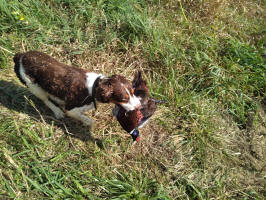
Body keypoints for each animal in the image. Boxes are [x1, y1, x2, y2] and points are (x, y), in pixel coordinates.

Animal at [13, 50, 141, 127]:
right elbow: (80, 116)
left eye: (133, 92)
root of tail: (20, 56)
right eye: (124, 99)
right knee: (45, 100)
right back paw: (57, 111)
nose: (139, 106)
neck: (94, 87)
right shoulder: (71, 108)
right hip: (33, 85)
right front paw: (88, 122)